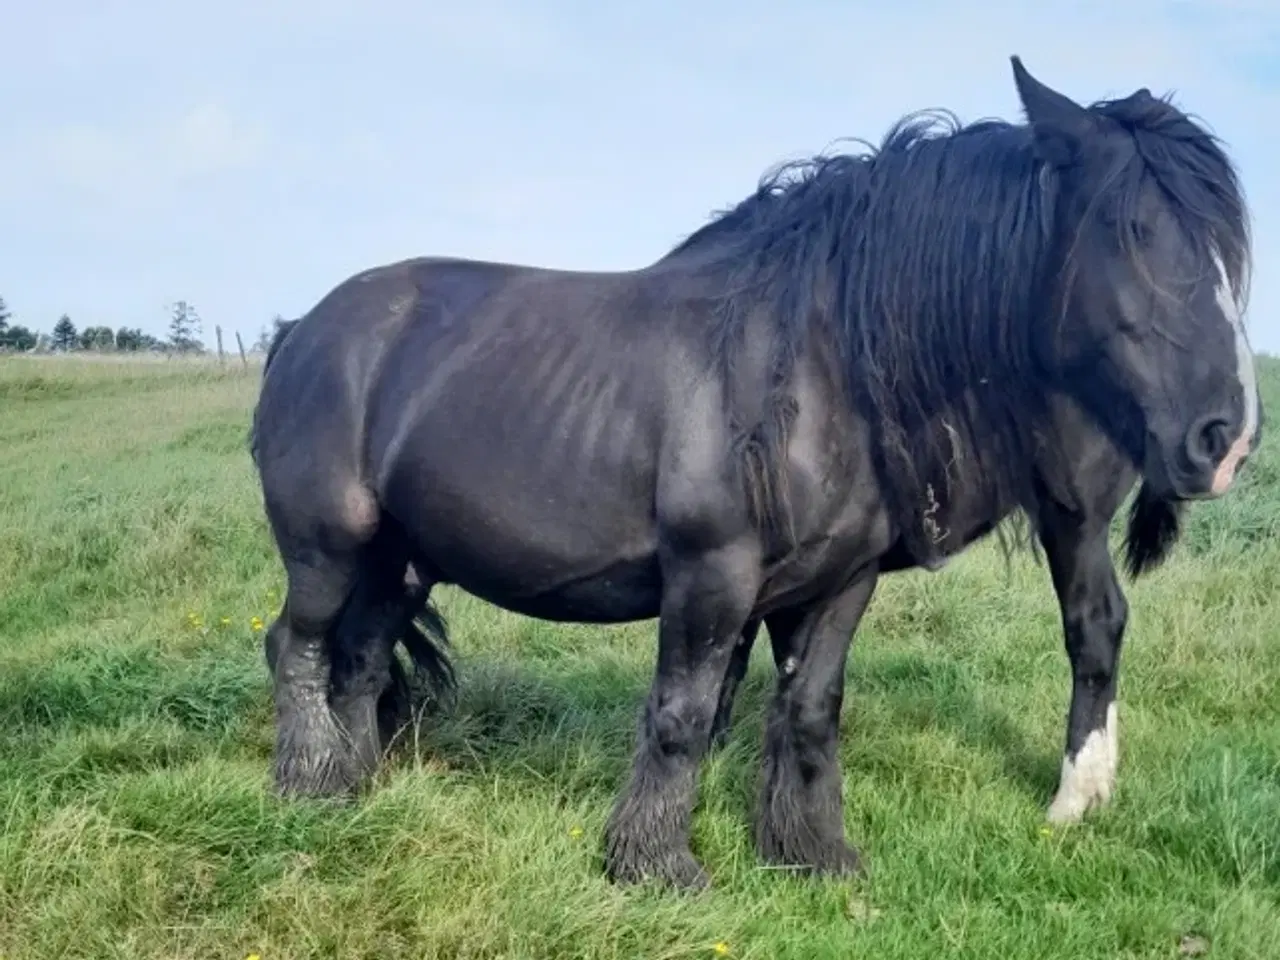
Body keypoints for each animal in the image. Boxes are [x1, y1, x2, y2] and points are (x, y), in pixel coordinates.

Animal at [247, 56, 1259, 890]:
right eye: (1133, 233)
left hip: (403, 557)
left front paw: (812, 853)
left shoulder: (840, 581)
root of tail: (302, 328)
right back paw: (308, 785)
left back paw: (358, 785)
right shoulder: (712, 575)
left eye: (1223, 252)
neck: (815, 363)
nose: (1228, 437)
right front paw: (656, 864)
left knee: (360, 660)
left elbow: (810, 708)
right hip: (328, 546)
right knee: (298, 645)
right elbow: (684, 713)